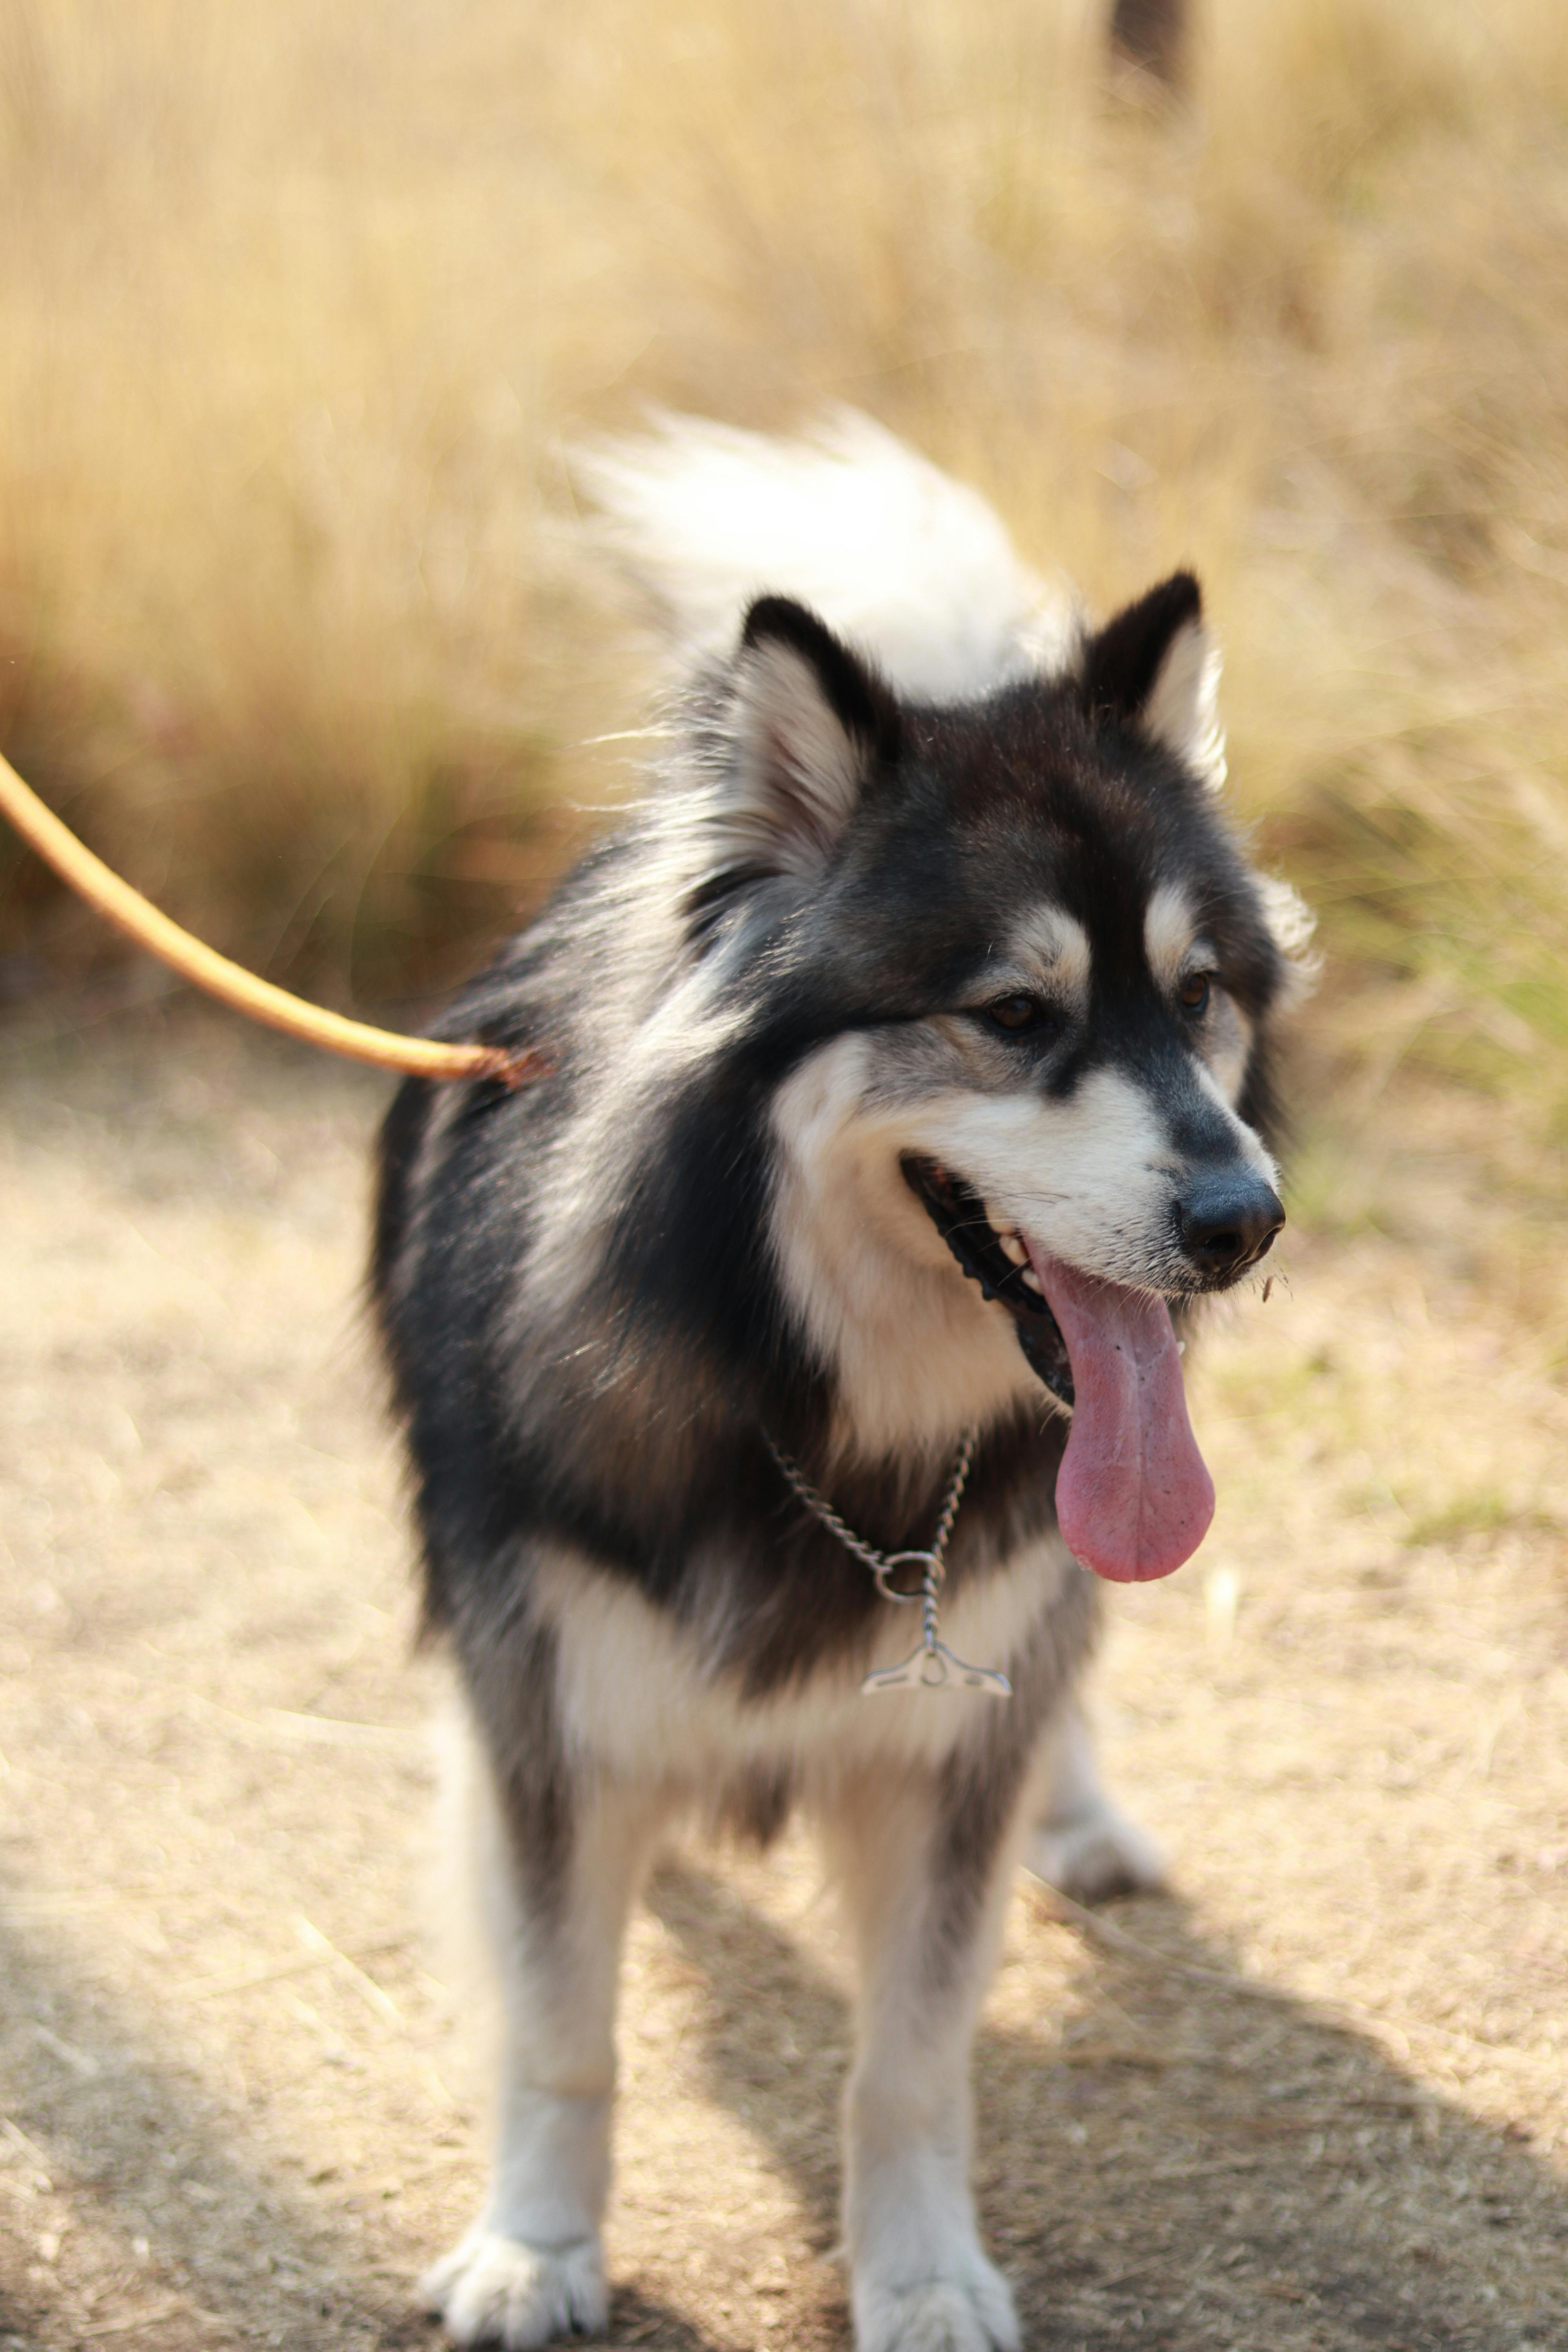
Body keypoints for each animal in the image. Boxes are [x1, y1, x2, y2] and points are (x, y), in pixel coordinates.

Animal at [371, 414, 1316, 2343]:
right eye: (1013, 1016)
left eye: (1194, 995)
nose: (1243, 1219)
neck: (815, 1410)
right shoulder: (546, 1713)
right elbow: (559, 2029)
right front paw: (537, 2246)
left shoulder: (940, 1761)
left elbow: (909, 2060)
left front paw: (922, 2272)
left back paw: (1080, 1812)